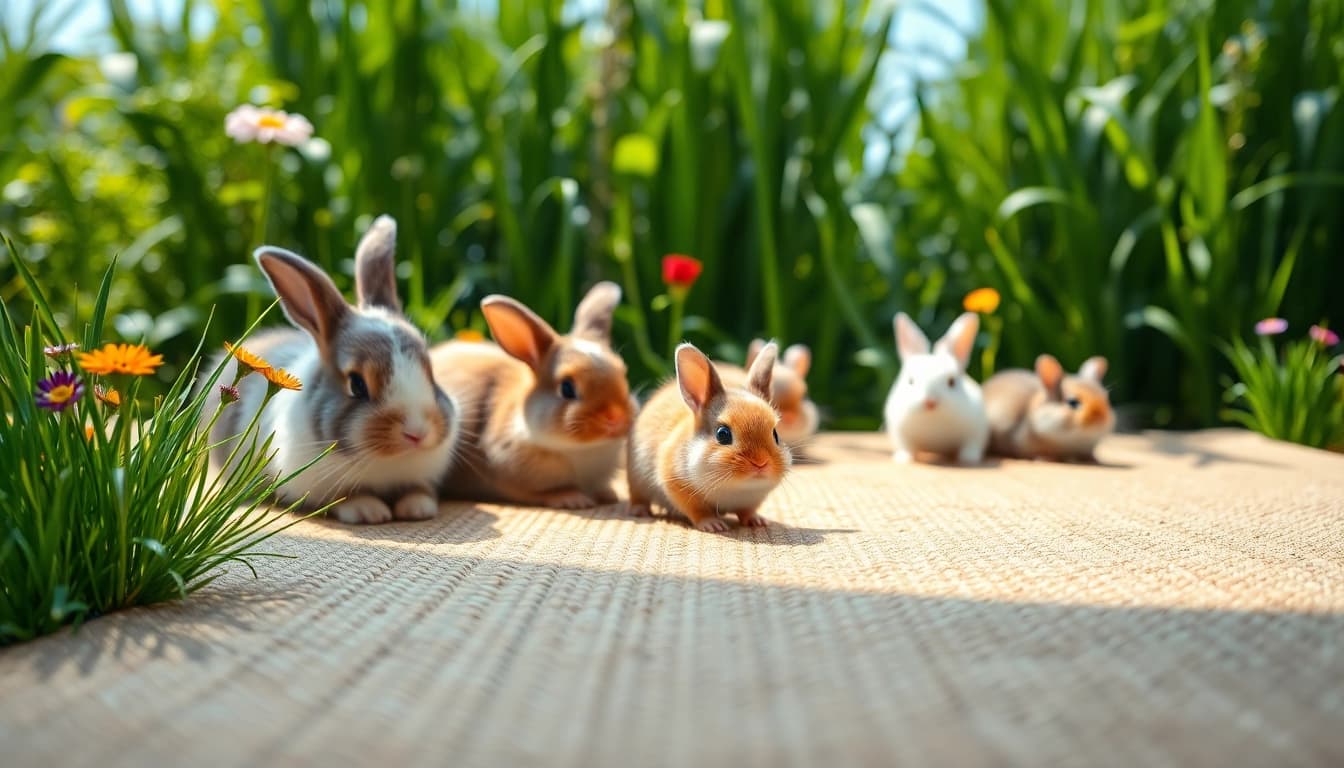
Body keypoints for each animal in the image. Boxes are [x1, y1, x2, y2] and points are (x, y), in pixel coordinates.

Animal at [203, 215, 460, 524]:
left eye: (431, 372)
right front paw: (369, 511)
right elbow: (344, 499)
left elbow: (418, 489)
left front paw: (418, 508)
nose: (418, 433)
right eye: (357, 385)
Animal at [430, 282, 637, 508]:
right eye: (567, 388)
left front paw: (608, 495)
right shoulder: (505, 474)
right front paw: (573, 499)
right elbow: (538, 493)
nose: (616, 418)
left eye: (623, 374)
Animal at [627, 342, 792, 532]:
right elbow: (698, 510)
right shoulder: (676, 484)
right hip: (636, 480)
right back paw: (640, 511)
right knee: (638, 498)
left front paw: (757, 521)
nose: (761, 462)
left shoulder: (751, 501)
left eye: (775, 434)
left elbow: (747, 511)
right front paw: (713, 524)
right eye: (723, 434)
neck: (738, 489)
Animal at [884, 311, 989, 464]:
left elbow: (971, 446)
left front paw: (969, 459)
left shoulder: (977, 430)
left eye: (951, 382)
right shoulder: (900, 432)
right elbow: (906, 447)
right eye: (910, 381)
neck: (932, 422)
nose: (930, 402)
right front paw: (903, 459)